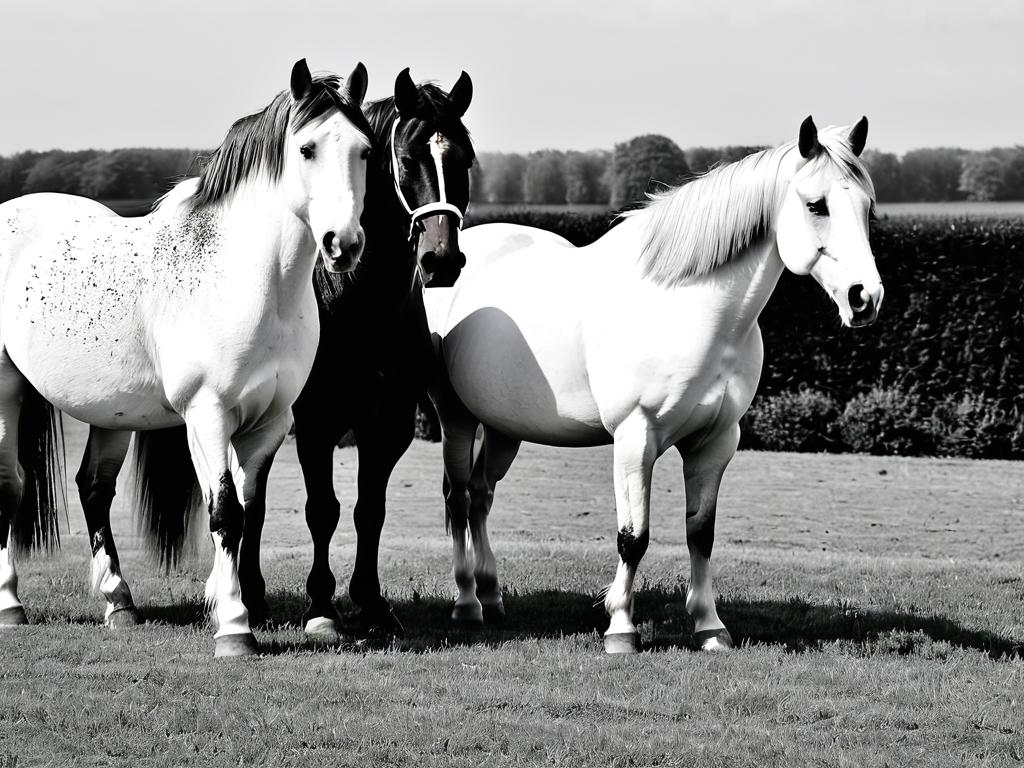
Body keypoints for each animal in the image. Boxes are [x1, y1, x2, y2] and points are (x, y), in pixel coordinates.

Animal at [264, 69, 471, 638]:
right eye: (405, 159)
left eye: (465, 159)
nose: (441, 259)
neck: (357, 302)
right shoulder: (316, 422)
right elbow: (322, 509)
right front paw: (320, 606)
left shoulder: (390, 421)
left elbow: (368, 510)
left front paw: (372, 603)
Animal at [428, 115, 884, 655]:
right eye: (816, 205)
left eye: (868, 208)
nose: (864, 298)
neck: (686, 307)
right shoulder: (634, 438)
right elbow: (633, 536)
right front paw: (621, 628)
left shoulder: (715, 443)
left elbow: (700, 535)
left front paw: (710, 625)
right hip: (456, 418)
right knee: (459, 498)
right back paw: (467, 602)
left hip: (504, 428)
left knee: (480, 497)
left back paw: (492, 594)